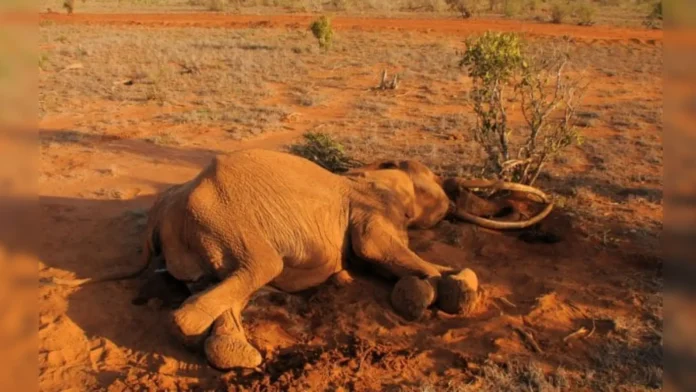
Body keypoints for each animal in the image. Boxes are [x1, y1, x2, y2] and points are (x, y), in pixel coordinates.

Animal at [44, 149, 556, 370]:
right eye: (432, 180)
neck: (364, 175)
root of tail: (159, 215)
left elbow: (378, 259)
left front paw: (415, 295)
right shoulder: (370, 211)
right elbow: (379, 248)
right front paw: (456, 285)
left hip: (203, 239)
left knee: (219, 283)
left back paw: (226, 347)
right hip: (225, 220)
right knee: (254, 271)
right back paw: (218, 345)